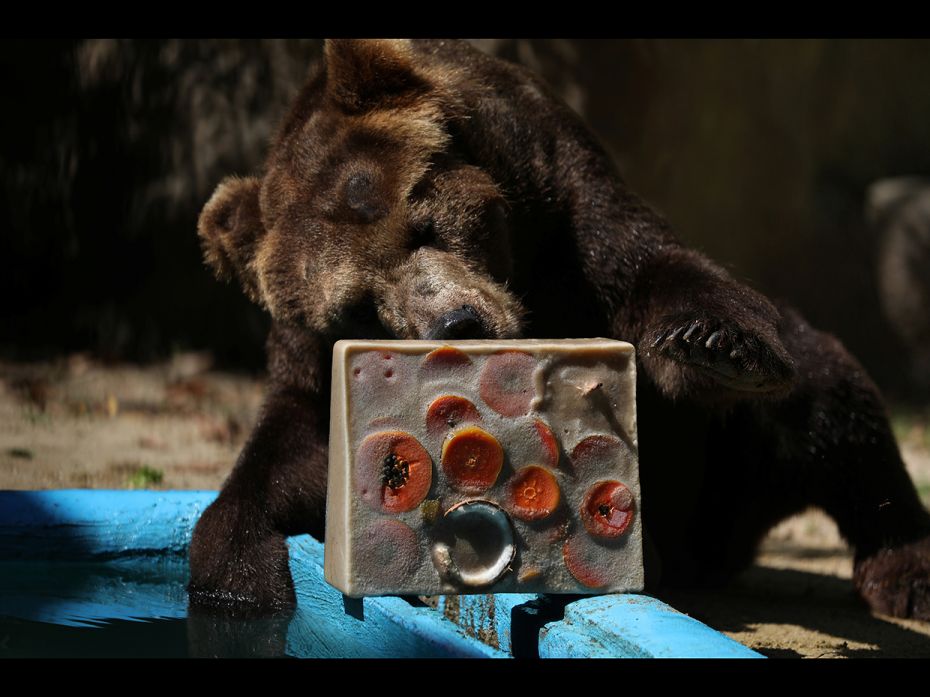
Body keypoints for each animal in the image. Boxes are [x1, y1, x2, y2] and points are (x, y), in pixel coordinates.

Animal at [187, 39, 928, 620]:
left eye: (422, 225)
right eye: (361, 304)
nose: (460, 321)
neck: (523, 263)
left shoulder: (561, 192)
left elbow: (649, 268)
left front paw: (717, 343)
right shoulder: (312, 360)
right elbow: (296, 445)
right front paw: (235, 578)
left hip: (736, 458)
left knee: (830, 405)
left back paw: (905, 571)